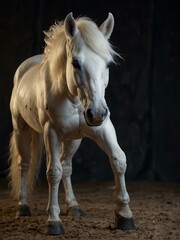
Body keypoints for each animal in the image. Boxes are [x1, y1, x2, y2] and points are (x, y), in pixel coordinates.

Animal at [8, 12, 135, 233]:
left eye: (107, 64)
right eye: (75, 62)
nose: (97, 113)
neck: (73, 97)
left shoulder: (102, 128)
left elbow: (118, 159)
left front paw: (124, 214)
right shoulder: (51, 132)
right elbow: (53, 172)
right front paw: (53, 221)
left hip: (73, 139)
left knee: (67, 166)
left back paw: (73, 206)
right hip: (21, 130)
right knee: (24, 164)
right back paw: (23, 206)